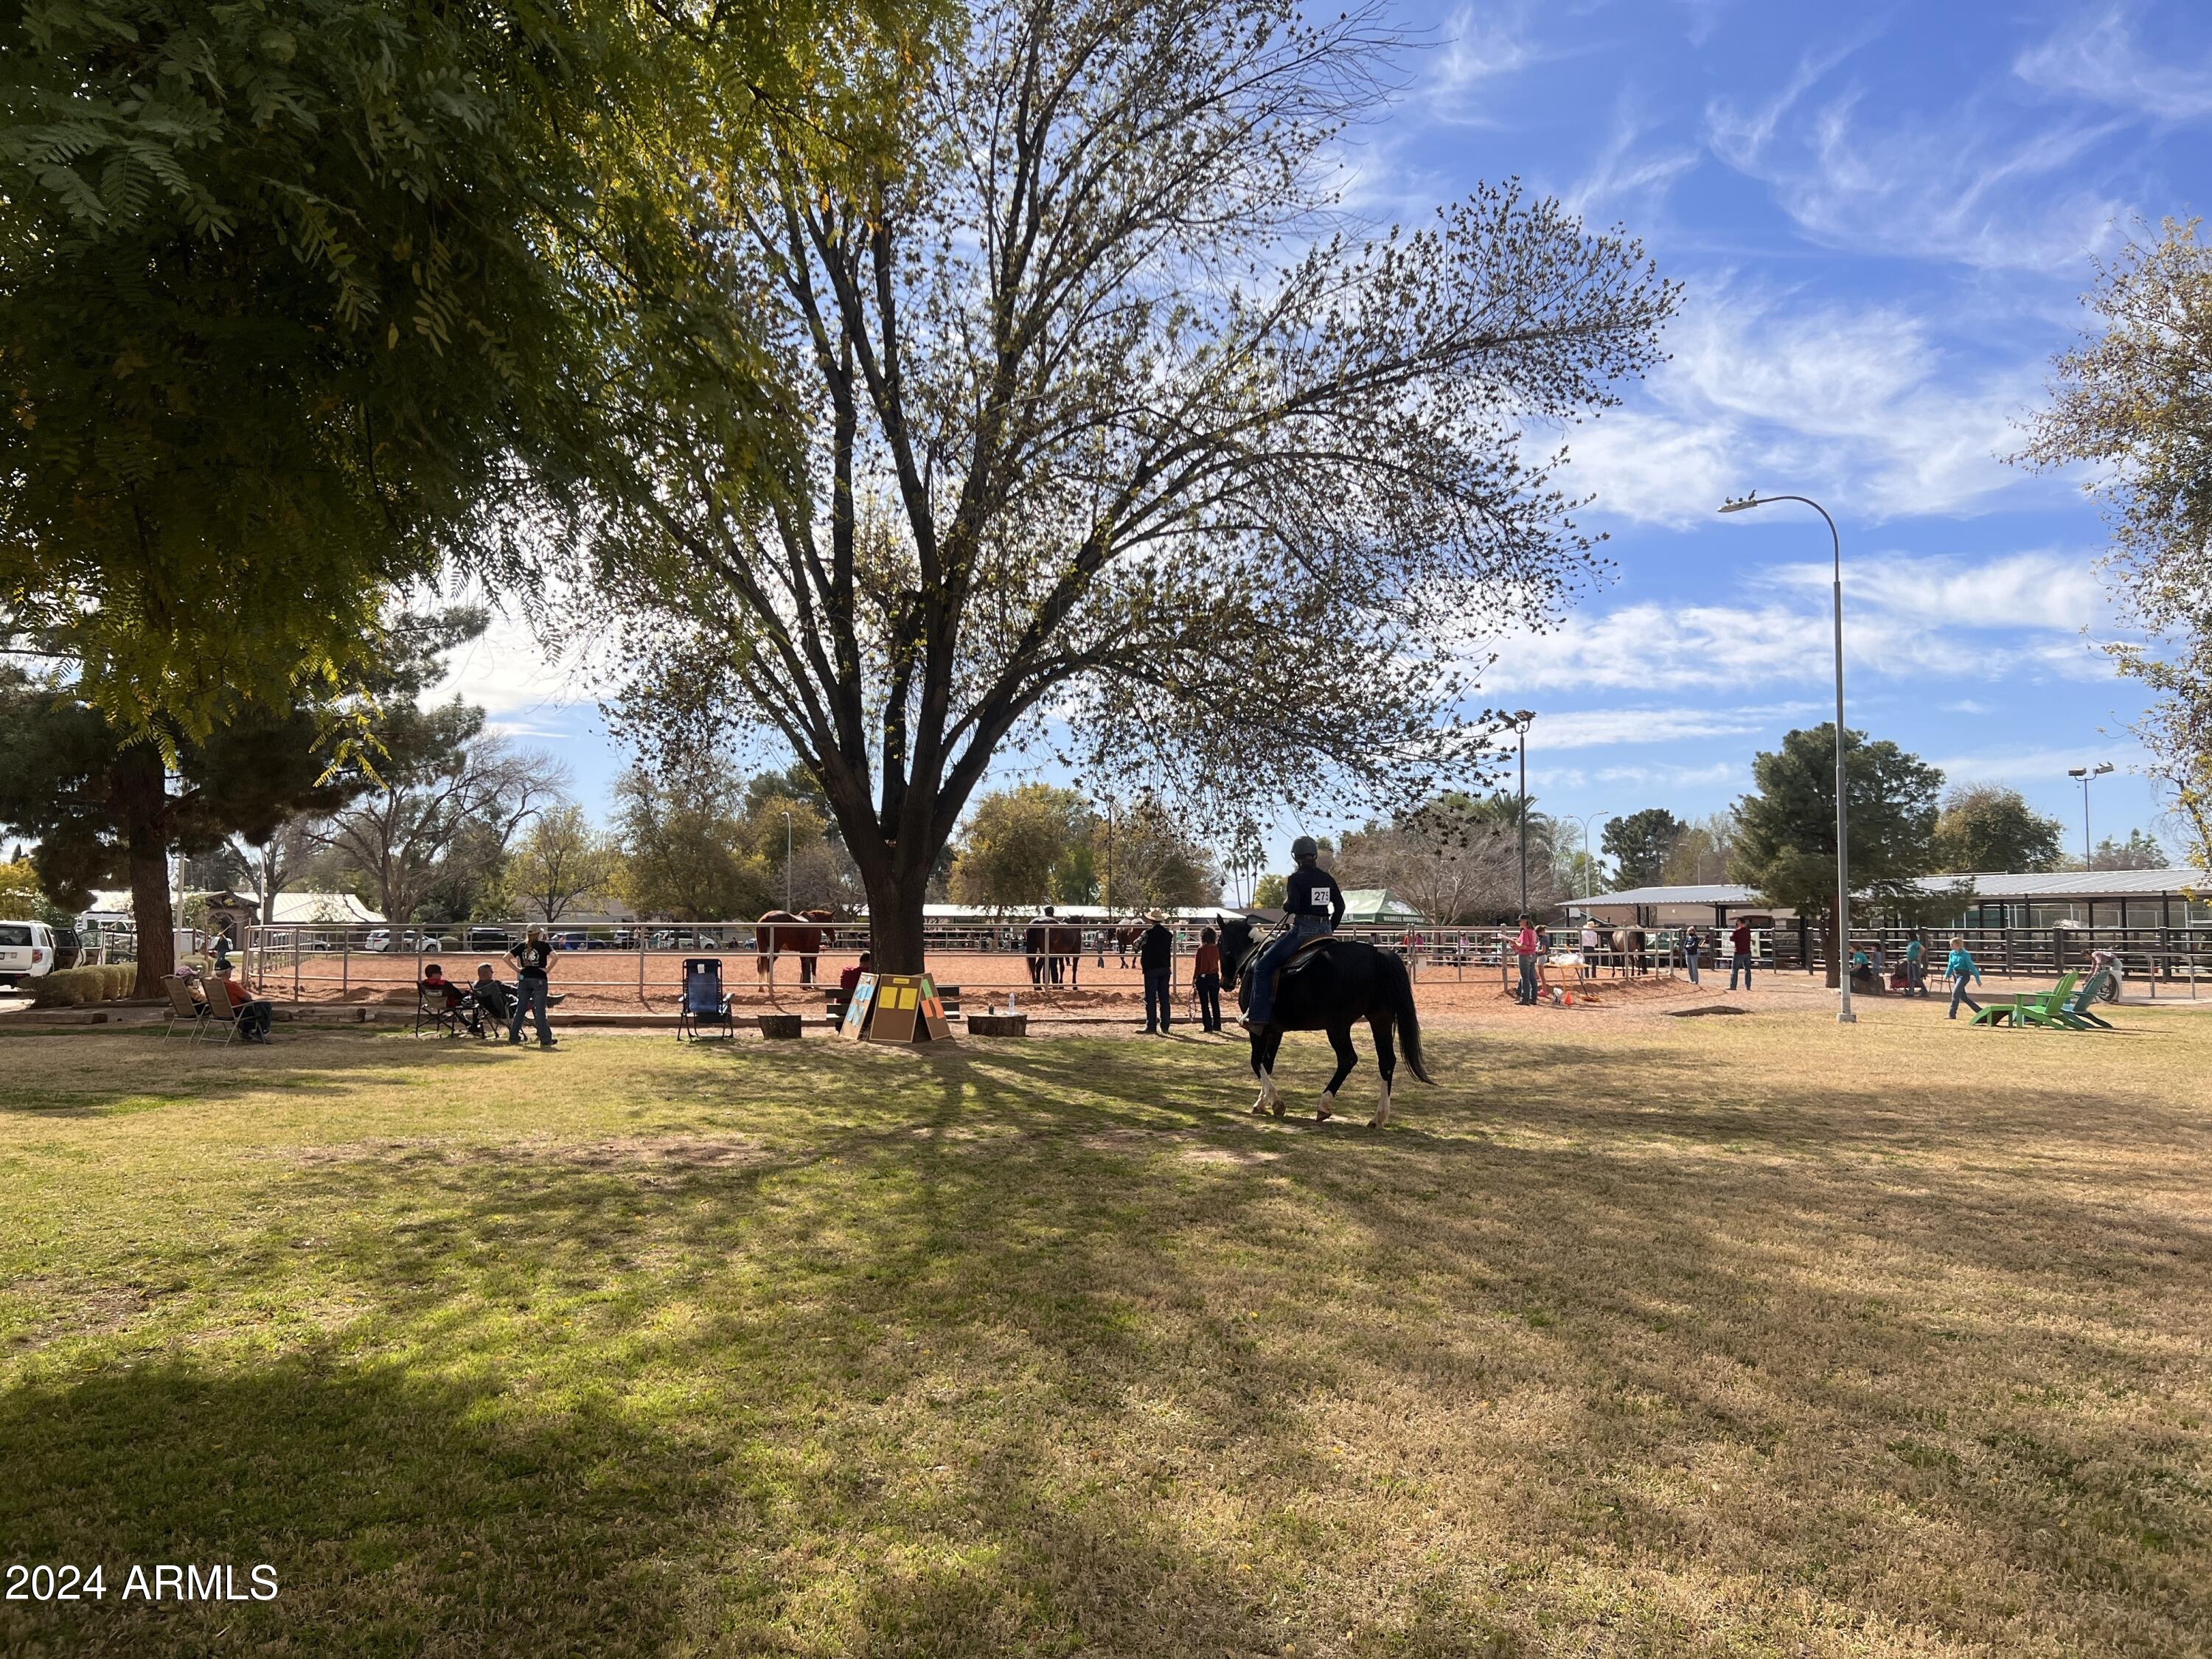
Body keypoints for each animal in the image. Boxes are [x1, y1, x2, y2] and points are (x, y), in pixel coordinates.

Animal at [1212, 925, 1433, 1133]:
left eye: (1219, 944)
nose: (1225, 983)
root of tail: (1378, 955)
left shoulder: (1257, 1029)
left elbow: (1256, 1061)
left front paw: (1275, 1102)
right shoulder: (1275, 1031)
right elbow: (1268, 1062)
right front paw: (1262, 1102)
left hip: (1338, 1026)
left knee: (1347, 1059)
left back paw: (1324, 1106)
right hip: (1380, 1019)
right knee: (1386, 1062)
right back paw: (1378, 1118)